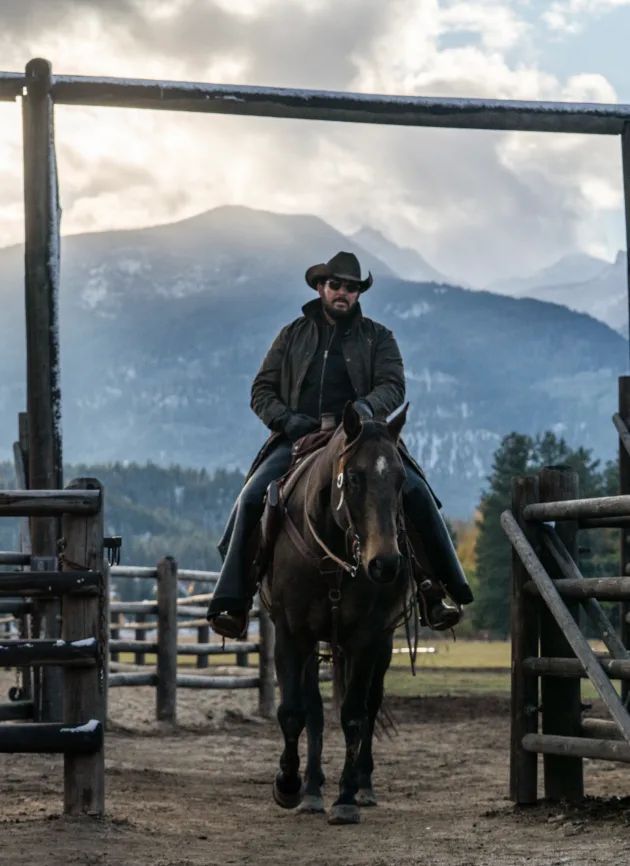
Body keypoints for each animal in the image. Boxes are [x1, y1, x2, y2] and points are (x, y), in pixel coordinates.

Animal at [264, 402, 412, 820]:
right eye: (355, 478)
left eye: (401, 480)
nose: (384, 564)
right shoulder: (292, 633)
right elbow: (295, 710)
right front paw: (289, 785)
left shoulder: (366, 638)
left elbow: (354, 715)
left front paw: (346, 798)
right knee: (314, 708)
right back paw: (312, 788)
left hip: (381, 643)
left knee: (371, 703)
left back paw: (363, 785)